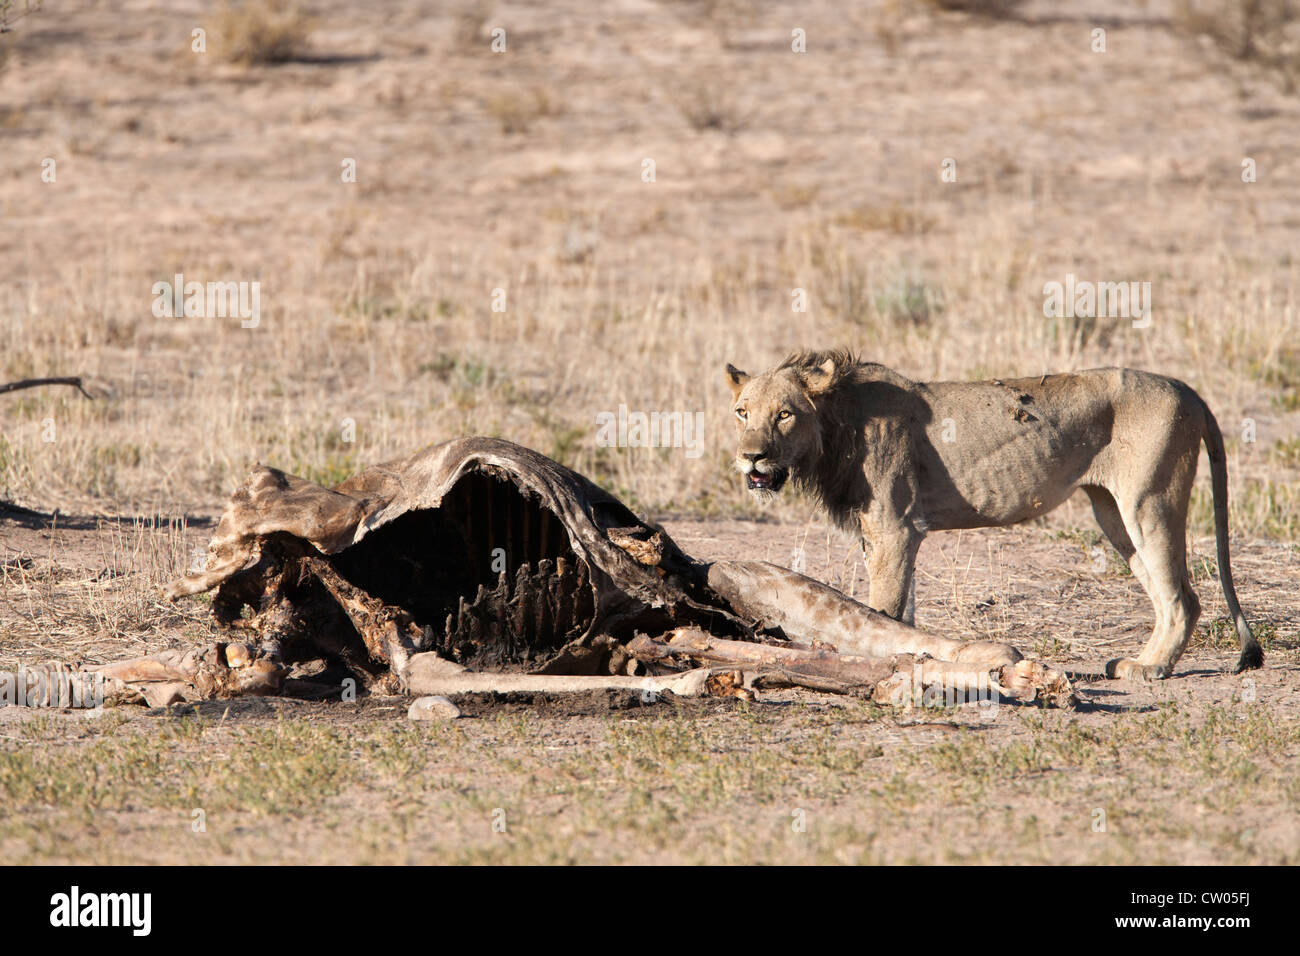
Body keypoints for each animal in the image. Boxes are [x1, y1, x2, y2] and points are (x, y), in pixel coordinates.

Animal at [722, 351, 1258, 681]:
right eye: (742, 412)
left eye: (785, 413)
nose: (751, 457)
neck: (835, 427)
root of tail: (1187, 388)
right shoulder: (890, 535)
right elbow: (904, 609)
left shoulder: (894, 529)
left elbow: (885, 610)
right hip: (1113, 512)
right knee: (1167, 592)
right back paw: (1138, 661)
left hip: (1148, 499)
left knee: (1182, 597)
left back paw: (1149, 669)